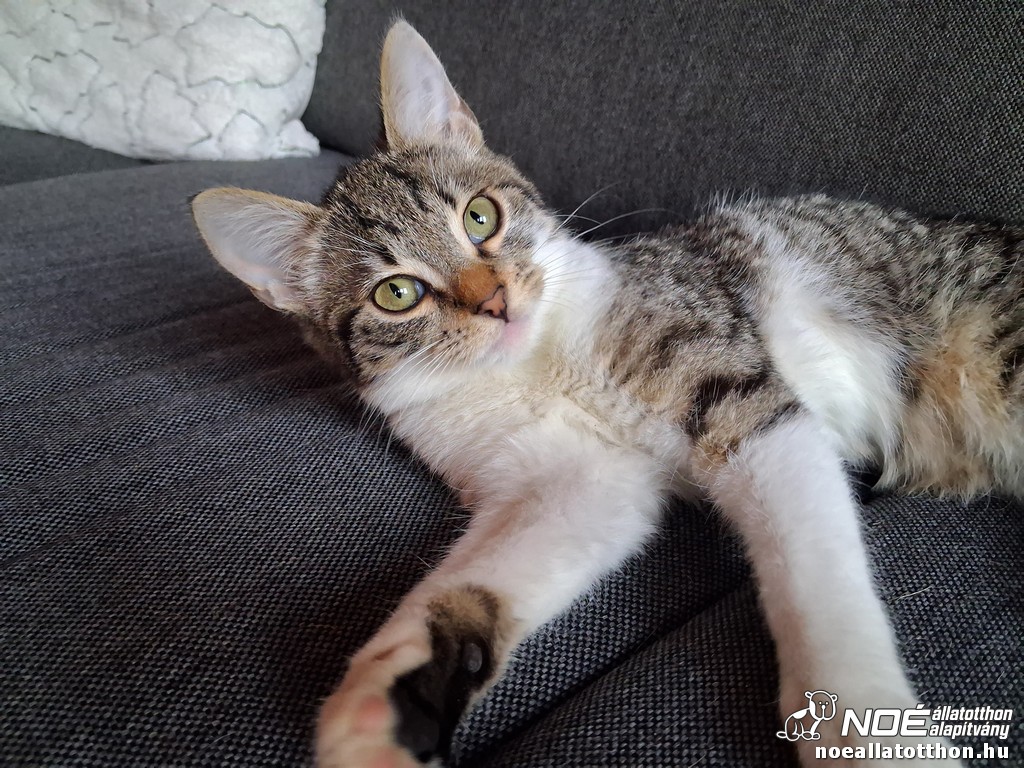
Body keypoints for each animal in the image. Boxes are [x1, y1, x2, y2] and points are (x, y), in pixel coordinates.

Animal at [190, 20, 1023, 768]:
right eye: (397, 294)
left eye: (480, 217)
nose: (495, 301)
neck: (537, 364)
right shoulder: (576, 480)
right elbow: (486, 573)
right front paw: (384, 703)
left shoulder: (741, 398)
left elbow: (815, 567)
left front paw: (861, 726)